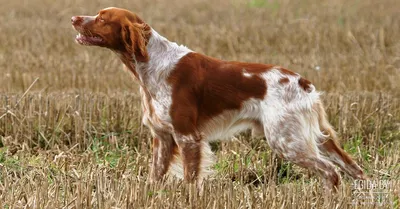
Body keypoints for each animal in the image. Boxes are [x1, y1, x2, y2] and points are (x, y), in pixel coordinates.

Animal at [71, 6, 366, 189]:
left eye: (102, 18)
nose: (74, 18)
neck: (152, 65)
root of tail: (304, 83)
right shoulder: (163, 138)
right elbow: (155, 176)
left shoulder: (188, 136)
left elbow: (191, 179)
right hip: (315, 138)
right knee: (354, 169)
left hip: (286, 140)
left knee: (331, 172)